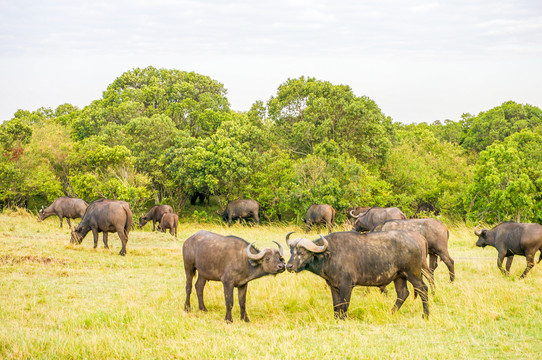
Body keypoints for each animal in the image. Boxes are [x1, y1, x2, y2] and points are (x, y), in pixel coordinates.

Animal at [286, 231, 432, 318]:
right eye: (292, 251)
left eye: (302, 253)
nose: (288, 266)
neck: (331, 254)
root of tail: (417, 240)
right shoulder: (333, 286)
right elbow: (336, 305)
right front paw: (336, 318)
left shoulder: (347, 286)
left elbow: (344, 305)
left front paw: (343, 319)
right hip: (399, 277)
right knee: (403, 293)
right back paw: (391, 313)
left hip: (413, 274)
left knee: (423, 290)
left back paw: (425, 315)